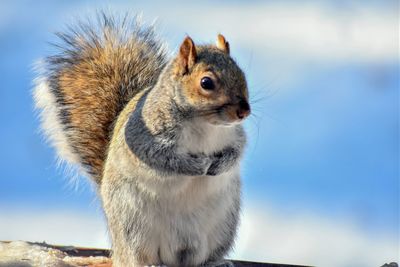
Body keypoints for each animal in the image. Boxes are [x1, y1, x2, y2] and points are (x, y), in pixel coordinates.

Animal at [33, 13, 250, 266]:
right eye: (206, 83)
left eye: (242, 74)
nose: (244, 112)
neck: (204, 123)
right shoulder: (146, 138)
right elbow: (162, 159)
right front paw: (198, 165)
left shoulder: (235, 135)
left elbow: (237, 150)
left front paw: (220, 164)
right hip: (133, 226)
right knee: (138, 257)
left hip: (222, 227)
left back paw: (215, 261)